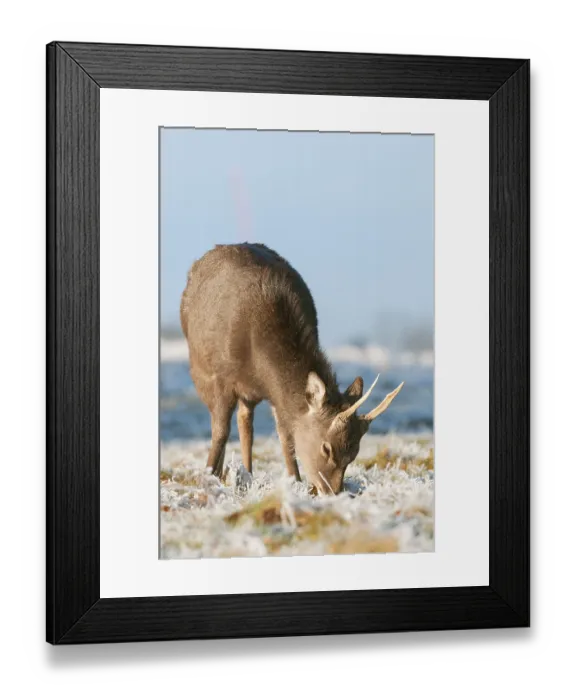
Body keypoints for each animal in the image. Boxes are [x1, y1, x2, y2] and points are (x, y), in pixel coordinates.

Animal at [180, 243, 404, 495]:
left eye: (354, 453)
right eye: (326, 448)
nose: (332, 492)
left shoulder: (275, 396)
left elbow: (286, 436)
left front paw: (294, 481)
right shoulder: (219, 378)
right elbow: (220, 431)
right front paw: (208, 478)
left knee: (245, 421)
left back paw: (246, 475)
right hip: (200, 368)